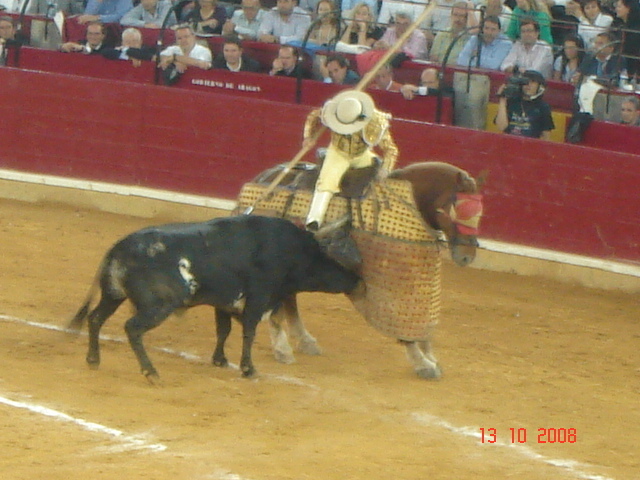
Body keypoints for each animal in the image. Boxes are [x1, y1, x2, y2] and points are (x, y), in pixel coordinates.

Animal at [70, 216, 362, 380]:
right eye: (336, 258)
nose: (357, 280)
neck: (293, 250)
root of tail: (118, 248)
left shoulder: (223, 302)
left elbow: (224, 330)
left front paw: (220, 360)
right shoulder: (258, 298)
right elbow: (248, 332)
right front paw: (248, 369)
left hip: (113, 295)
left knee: (95, 319)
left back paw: (93, 360)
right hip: (158, 306)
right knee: (132, 328)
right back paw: (150, 372)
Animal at [245, 161, 484, 378]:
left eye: (479, 214)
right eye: (459, 211)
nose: (466, 256)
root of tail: (264, 177)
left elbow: (421, 326)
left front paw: (430, 357)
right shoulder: (395, 292)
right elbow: (405, 331)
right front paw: (423, 364)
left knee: (289, 299)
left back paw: (305, 340)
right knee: (279, 305)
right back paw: (282, 349)